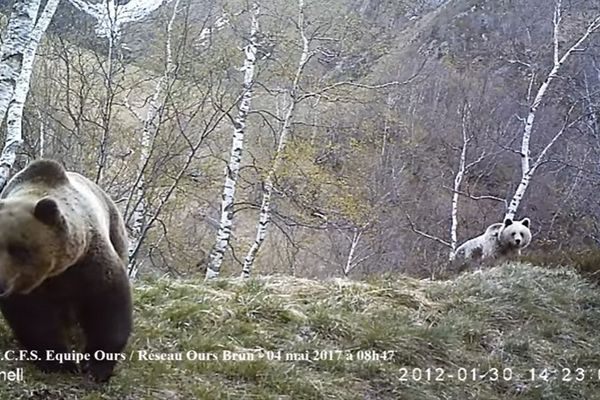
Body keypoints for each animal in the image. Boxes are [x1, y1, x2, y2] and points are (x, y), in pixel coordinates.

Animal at [0, 159, 132, 382]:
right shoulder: (27, 286)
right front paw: (61, 362)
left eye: (19, 249)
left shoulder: (89, 262)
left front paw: (96, 366)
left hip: (116, 231)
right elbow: (34, 319)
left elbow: (108, 304)